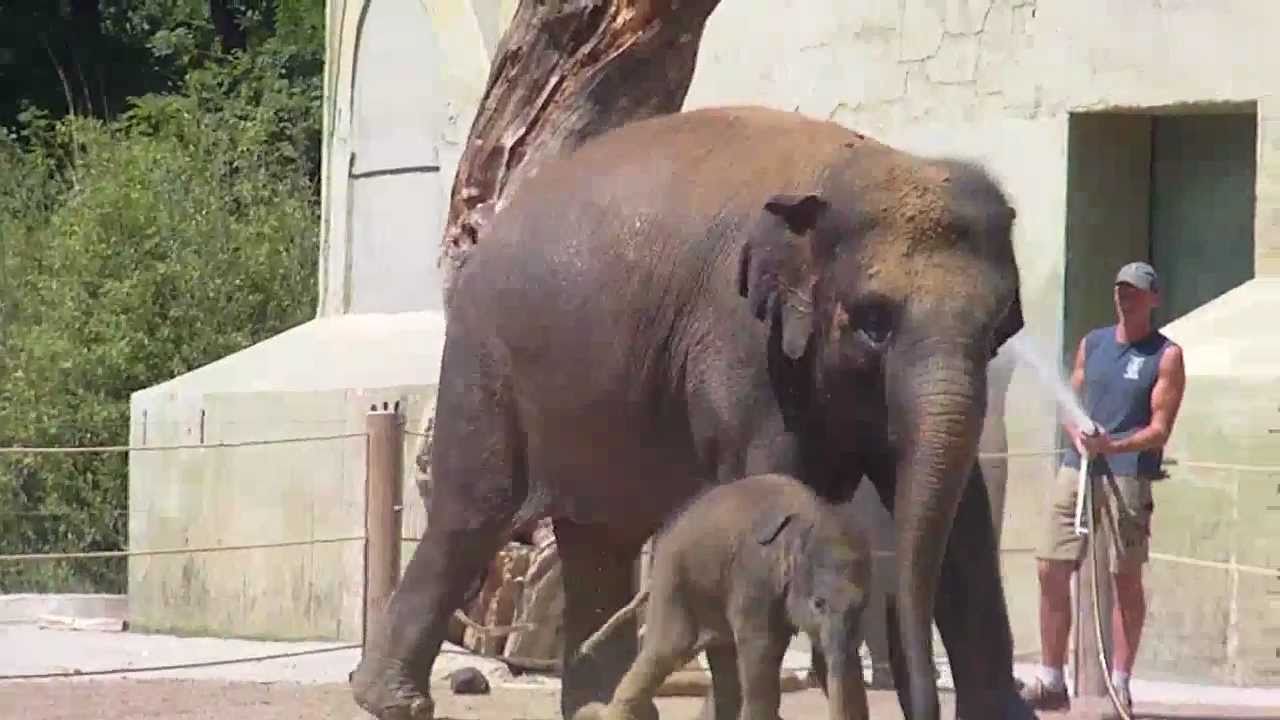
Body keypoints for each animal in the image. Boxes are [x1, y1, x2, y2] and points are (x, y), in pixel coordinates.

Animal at [572, 473, 871, 720]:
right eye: (818, 604)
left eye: (861, 607)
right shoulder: (753, 579)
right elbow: (762, 648)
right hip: (675, 577)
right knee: (669, 649)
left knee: (721, 663)